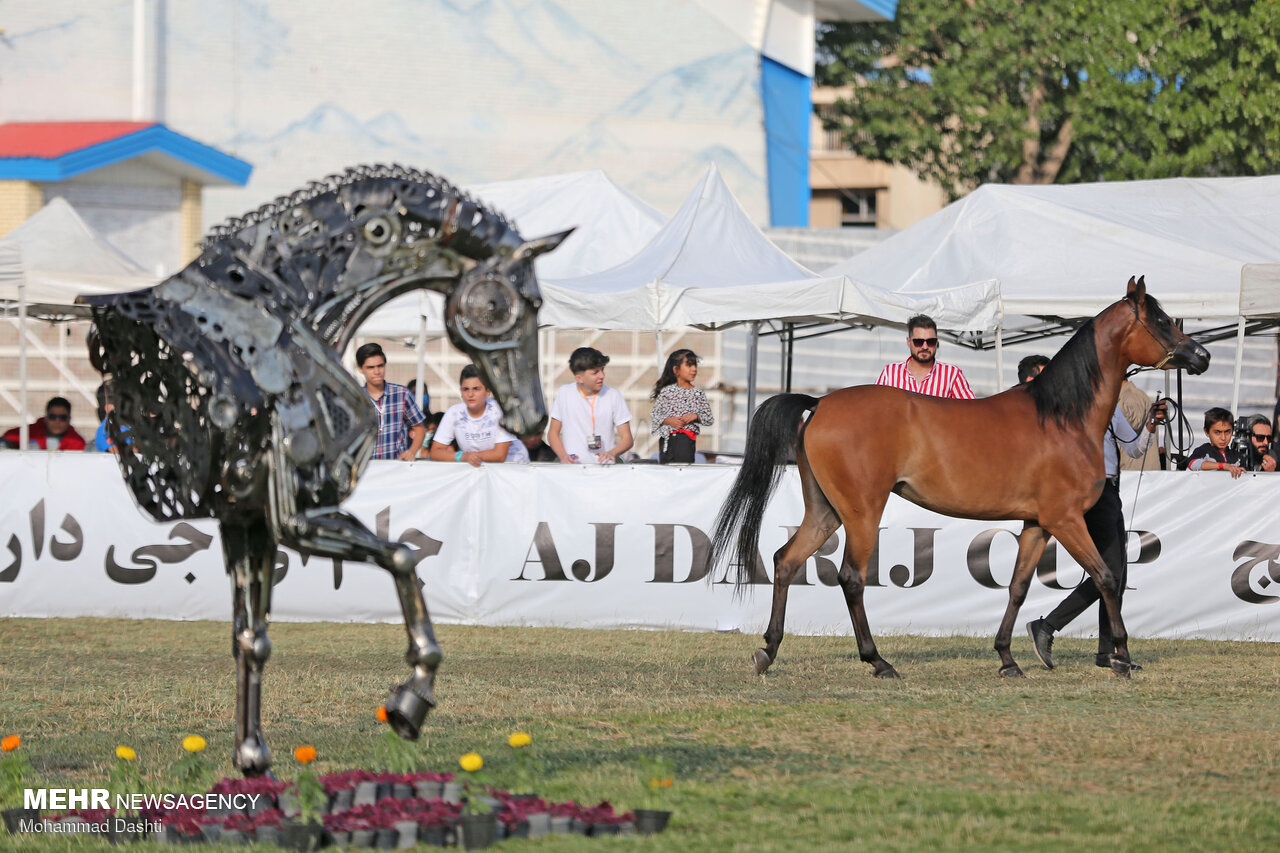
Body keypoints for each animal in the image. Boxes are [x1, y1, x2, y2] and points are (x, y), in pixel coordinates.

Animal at [74, 163, 565, 768]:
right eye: (518, 303)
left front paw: (251, 757)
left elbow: (252, 638)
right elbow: (402, 557)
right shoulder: (298, 520)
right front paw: (409, 702)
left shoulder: (247, 520)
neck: (285, 316)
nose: (533, 418)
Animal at [711, 279, 1208, 676]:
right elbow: (1105, 576)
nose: (1201, 356)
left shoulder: (1037, 524)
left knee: (785, 561)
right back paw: (878, 661)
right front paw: (1122, 657)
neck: (1061, 417)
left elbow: (1018, 587)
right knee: (850, 576)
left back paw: (767, 652)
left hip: (825, 510)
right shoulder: (1065, 519)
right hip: (862, 511)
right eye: (1161, 320)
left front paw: (1008, 659)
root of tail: (820, 404)